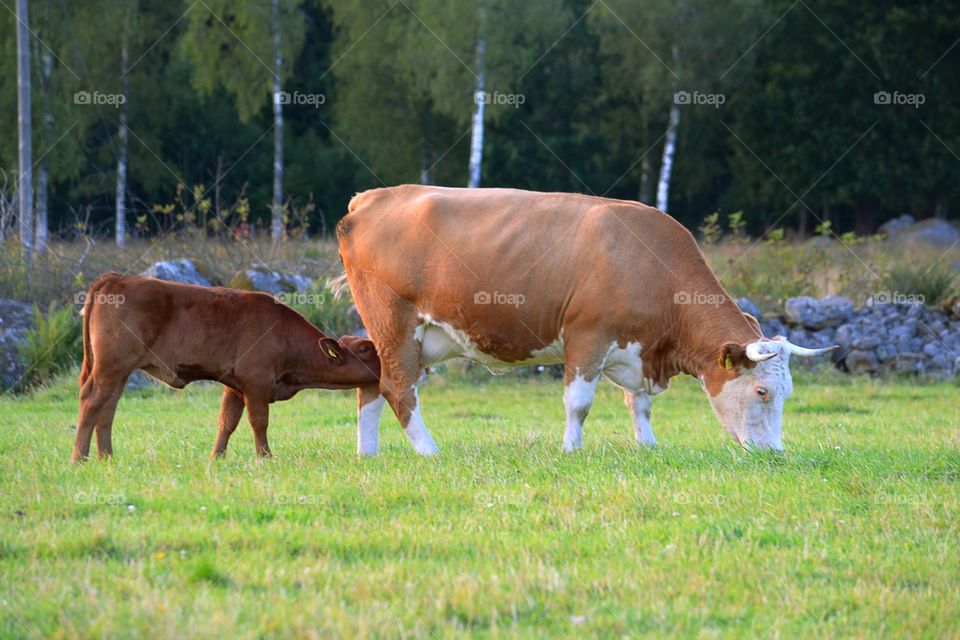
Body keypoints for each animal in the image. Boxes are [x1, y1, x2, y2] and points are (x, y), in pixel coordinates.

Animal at [73, 272, 380, 462]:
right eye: (366, 349)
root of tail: (116, 278)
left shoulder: (234, 387)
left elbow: (227, 422)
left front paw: (216, 458)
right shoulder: (256, 383)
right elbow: (259, 421)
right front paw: (265, 457)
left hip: (117, 372)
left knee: (107, 408)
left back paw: (106, 457)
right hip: (111, 367)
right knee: (92, 401)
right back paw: (79, 459)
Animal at [336, 184, 832, 456]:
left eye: (787, 392)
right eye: (762, 391)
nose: (776, 454)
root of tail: (372, 199)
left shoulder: (636, 349)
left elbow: (640, 404)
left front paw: (648, 446)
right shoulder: (587, 337)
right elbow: (579, 403)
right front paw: (571, 448)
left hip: (404, 334)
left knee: (374, 382)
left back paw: (368, 452)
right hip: (395, 321)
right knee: (399, 387)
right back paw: (430, 451)